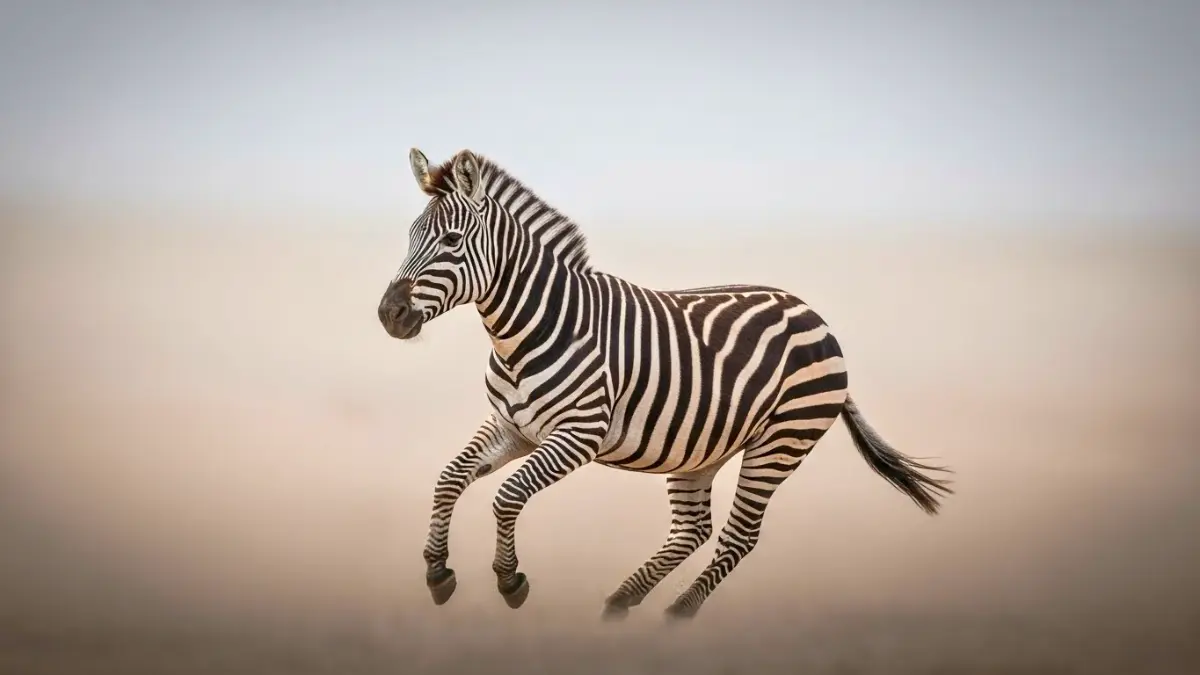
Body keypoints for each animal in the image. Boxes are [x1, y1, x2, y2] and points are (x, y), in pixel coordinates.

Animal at [377, 147, 953, 621]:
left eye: (452, 241)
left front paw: (509, 580)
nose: (389, 314)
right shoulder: (512, 427)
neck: (528, 331)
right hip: (703, 447)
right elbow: (449, 478)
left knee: (740, 535)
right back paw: (620, 604)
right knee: (693, 530)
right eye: (409, 237)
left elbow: (507, 495)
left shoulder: (577, 435)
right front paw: (436, 570)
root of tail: (814, 314)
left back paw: (676, 615)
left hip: (780, 441)